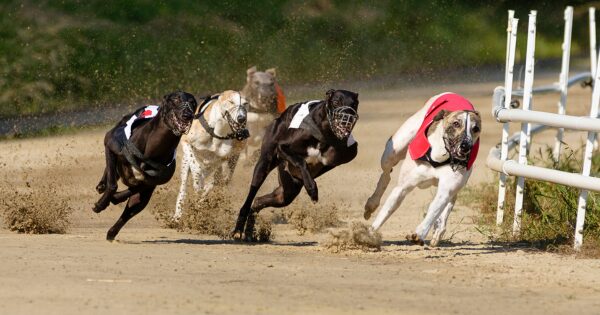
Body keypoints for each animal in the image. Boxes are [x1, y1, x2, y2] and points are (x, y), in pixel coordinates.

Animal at [364, 92, 480, 248]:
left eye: (476, 129)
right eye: (456, 124)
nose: (466, 146)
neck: (440, 156)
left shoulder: (447, 189)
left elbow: (434, 210)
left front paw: (419, 234)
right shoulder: (402, 188)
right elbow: (386, 211)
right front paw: (369, 234)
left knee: (449, 203)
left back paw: (438, 231)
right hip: (393, 150)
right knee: (386, 174)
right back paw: (371, 204)